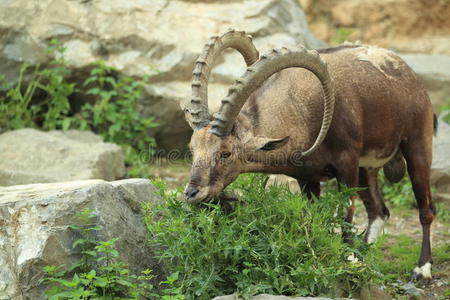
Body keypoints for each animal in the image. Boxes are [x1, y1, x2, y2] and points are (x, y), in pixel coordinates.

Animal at [182, 29, 436, 280]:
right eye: (192, 149)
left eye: (226, 153)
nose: (192, 193)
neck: (301, 109)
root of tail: (411, 76)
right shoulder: (307, 177)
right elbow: (313, 216)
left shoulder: (347, 164)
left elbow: (346, 214)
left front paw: (346, 261)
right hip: (367, 168)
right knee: (379, 211)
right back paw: (364, 256)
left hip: (417, 146)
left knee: (426, 209)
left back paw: (422, 268)